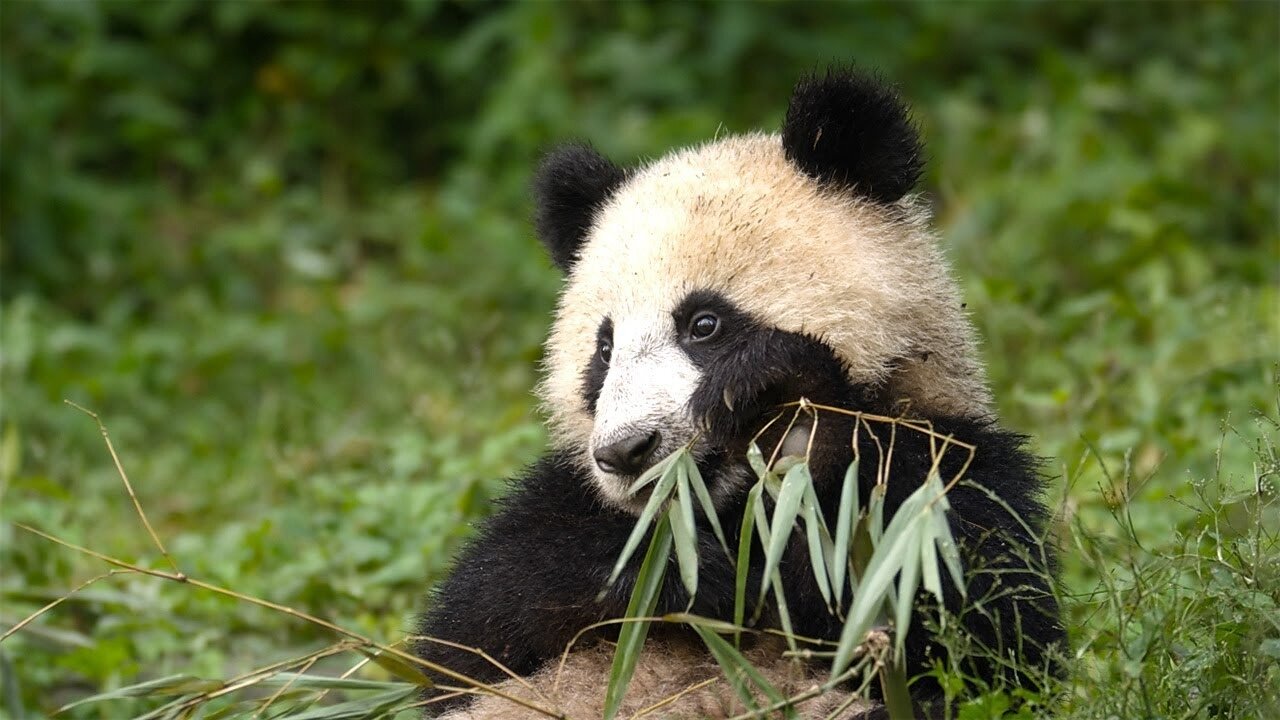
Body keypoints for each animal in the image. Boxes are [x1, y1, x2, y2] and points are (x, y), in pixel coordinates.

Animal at [414, 68, 1064, 717]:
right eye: (604, 349)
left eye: (704, 324)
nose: (627, 451)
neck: (723, 507)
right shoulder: (562, 503)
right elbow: (476, 629)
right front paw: (686, 571)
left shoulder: (944, 464)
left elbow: (971, 632)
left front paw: (785, 408)